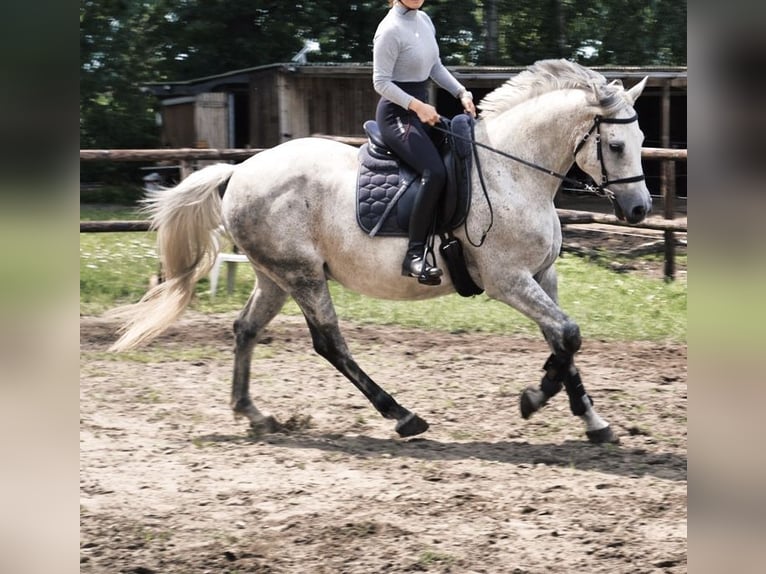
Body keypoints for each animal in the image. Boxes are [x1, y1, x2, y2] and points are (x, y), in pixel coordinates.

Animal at [111, 59, 656, 446]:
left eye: (642, 138)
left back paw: (255, 414)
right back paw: (403, 416)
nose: (638, 209)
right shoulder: (507, 281)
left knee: (246, 329)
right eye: (615, 145)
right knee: (330, 343)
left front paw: (591, 420)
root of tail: (240, 170)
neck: (515, 172)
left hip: (275, 277)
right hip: (304, 275)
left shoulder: (543, 276)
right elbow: (567, 334)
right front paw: (533, 398)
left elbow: (563, 340)